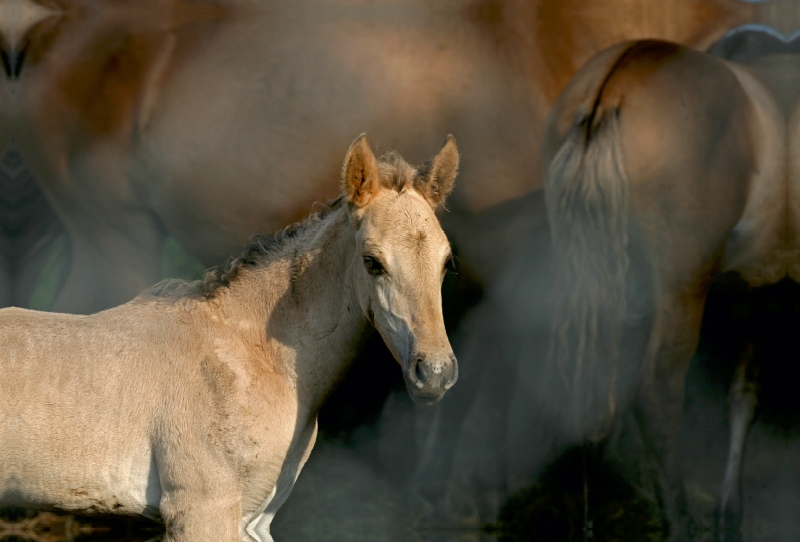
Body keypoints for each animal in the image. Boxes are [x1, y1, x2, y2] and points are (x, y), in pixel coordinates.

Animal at [0, 133, 460, 542]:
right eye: (373, 262)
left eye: (445, 262)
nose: (434, 373)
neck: (249, 354)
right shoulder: (203, 509)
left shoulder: (254, 520)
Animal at [544, 40, 780, 540]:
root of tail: (611, 87)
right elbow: (745, 388)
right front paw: (729, 512)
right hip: (681, 284)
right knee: (658, 390)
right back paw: (679, 520)